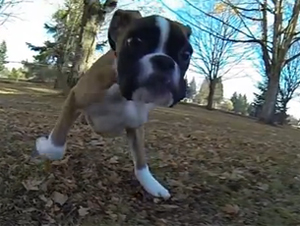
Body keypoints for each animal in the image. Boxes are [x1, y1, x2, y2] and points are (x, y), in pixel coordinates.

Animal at [32, 8, 192, 200]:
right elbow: (56, 148)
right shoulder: (75, 98)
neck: (121, 95)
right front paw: (45, 146)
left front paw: (152, 184)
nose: (163, 61)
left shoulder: (136, 126)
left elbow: (141, 160)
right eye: (134, 41)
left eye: (186, 54)